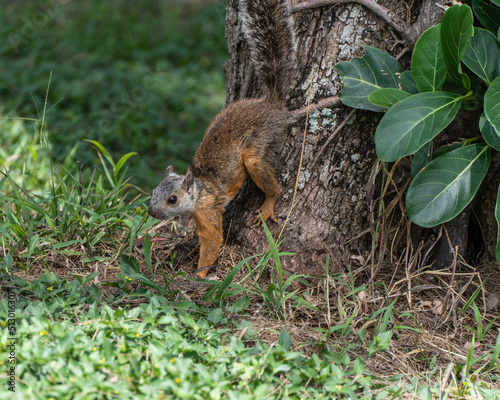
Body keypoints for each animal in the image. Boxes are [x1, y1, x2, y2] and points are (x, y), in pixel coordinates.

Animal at [148, 0, 296, 276]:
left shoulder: (207, 209)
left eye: (172, 199)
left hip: (257, 144)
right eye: (153, 191)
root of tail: (270, 104)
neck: (199, 189)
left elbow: (212, 240)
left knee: (261, 172)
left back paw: (268, 204)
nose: (151, 211)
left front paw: (200, 273)